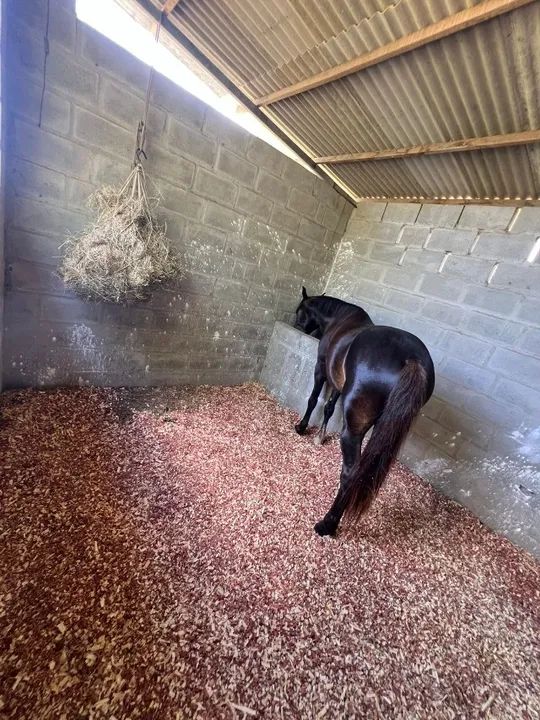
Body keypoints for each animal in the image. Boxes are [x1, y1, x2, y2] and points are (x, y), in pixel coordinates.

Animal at [294, 287, 435, 537]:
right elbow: (329, 407)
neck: (340, 319)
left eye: (300, 310)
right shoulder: (339, 384)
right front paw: (320, 436)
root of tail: (412, 360)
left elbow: (313, 399)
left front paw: (302, 427)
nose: (296, 325)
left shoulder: (321, 368)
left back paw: (327, 524)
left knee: (350, 473)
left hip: (353, 429)